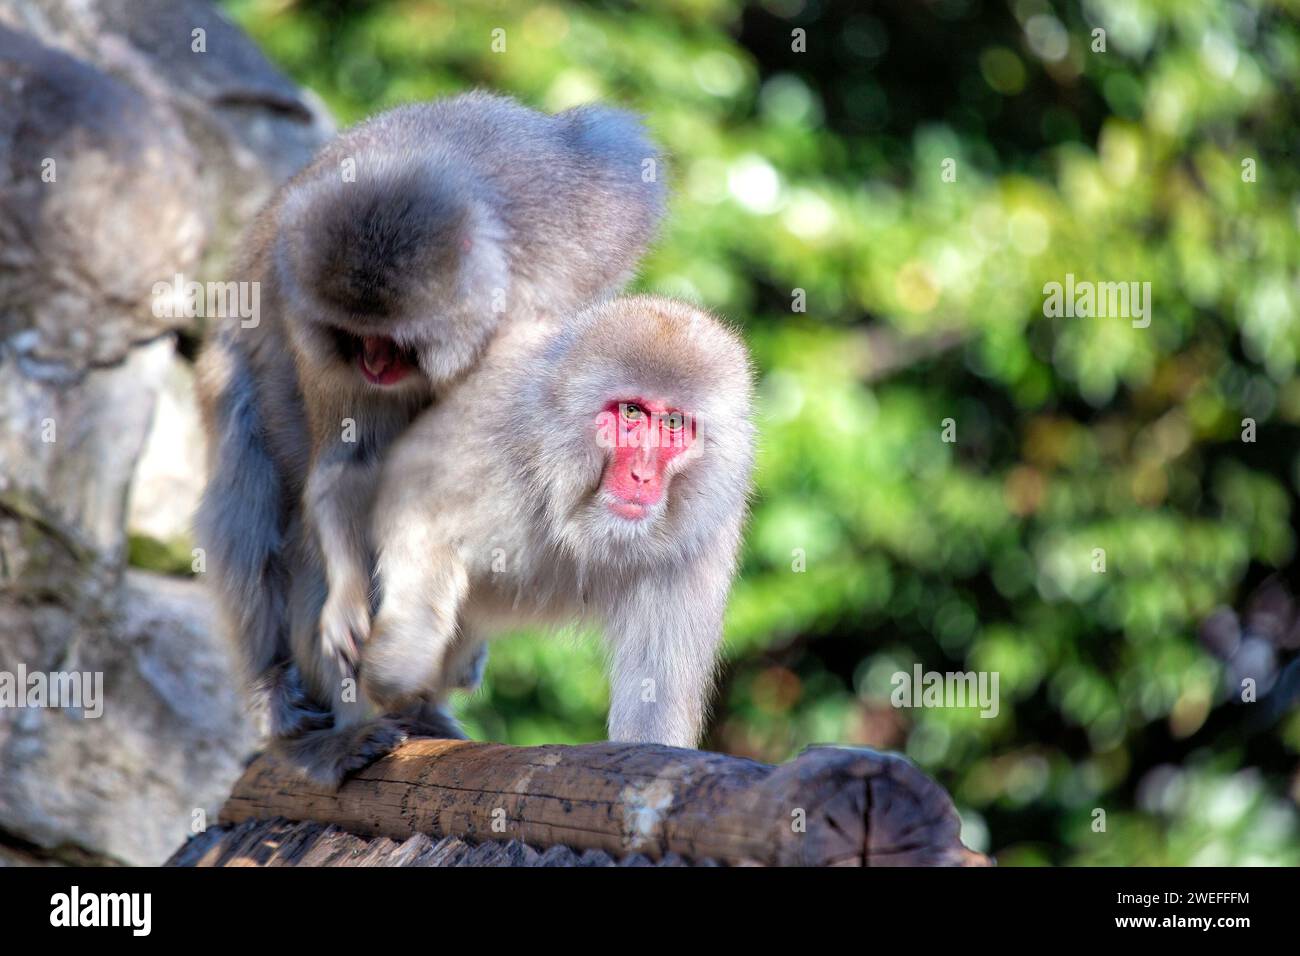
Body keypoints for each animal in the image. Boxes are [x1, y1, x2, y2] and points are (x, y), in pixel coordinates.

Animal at [197, 89, 665, 780]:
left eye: (392, 341)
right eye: (353, 335)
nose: (371, 364)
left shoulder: (560, 275)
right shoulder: (307, 310)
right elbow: (350, 464)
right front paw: (344, 601)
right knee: (247, 457)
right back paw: (296, 712)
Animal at [364, 297, 754, 749]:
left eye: (673, 423)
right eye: (632, 412)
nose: (642, 476)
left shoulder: (700, 538)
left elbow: (652, 721)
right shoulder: (489, 440)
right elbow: (410, 505)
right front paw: (402, 655)